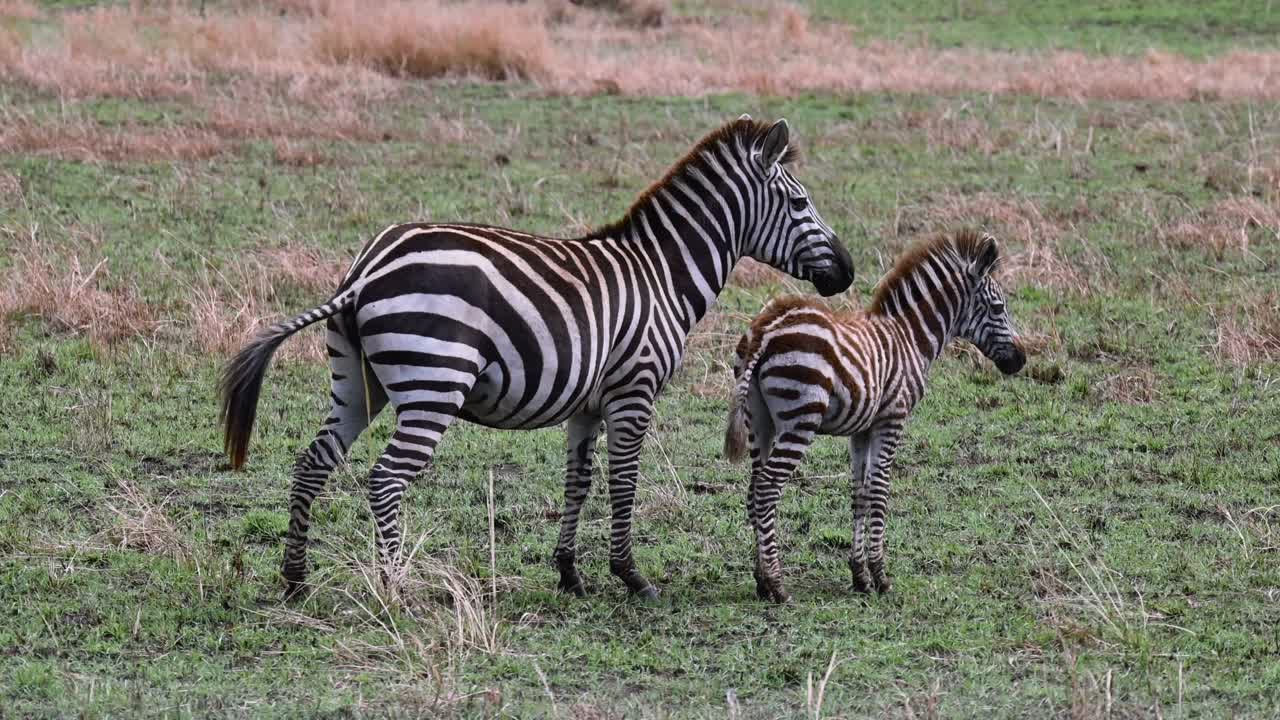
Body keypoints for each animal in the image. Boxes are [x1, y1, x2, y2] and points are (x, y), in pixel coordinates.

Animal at [220, 115, 855, 600]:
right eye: (800, 201)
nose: (848, 272)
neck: (662, 274)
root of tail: (365, 271)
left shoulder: (588, 403)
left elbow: (578, 481)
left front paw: (570, 573)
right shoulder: (635, 389)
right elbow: (624, 481)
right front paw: (631, 577)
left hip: (358, 384)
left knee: (312, 463)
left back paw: (296, 580)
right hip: (433, 385)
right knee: (384, 479)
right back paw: (393, 587)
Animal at [723, 229, 1024, 603]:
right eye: (998, 307)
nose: (1021, 360)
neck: (910, 336)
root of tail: (765, 328)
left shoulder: (862, 429)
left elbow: (860, 494)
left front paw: (860, 575)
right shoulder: (891, 420)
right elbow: (880, 493)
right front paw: (881, 576)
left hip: (759, 421)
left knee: (753, 492)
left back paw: (761, 581)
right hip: (799, 421)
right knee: (766, 490)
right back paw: (777, 584)